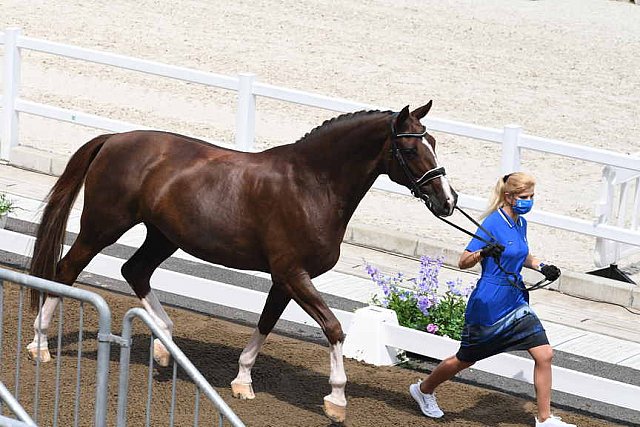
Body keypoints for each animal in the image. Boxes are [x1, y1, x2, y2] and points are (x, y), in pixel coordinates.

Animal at [25, 102, 456, 422]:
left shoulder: (284, 279)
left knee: (135, 270)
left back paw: (165, 343)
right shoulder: (293, 274)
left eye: (434, 141)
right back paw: (40, 345)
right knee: (67, 270)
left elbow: (266, 323)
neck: (311, 185)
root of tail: (113, 139)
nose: (447, 200)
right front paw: (337, 400)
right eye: (412, 149)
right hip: (102, 226)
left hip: (163, 236)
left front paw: (243, 381)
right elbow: (333, 328)